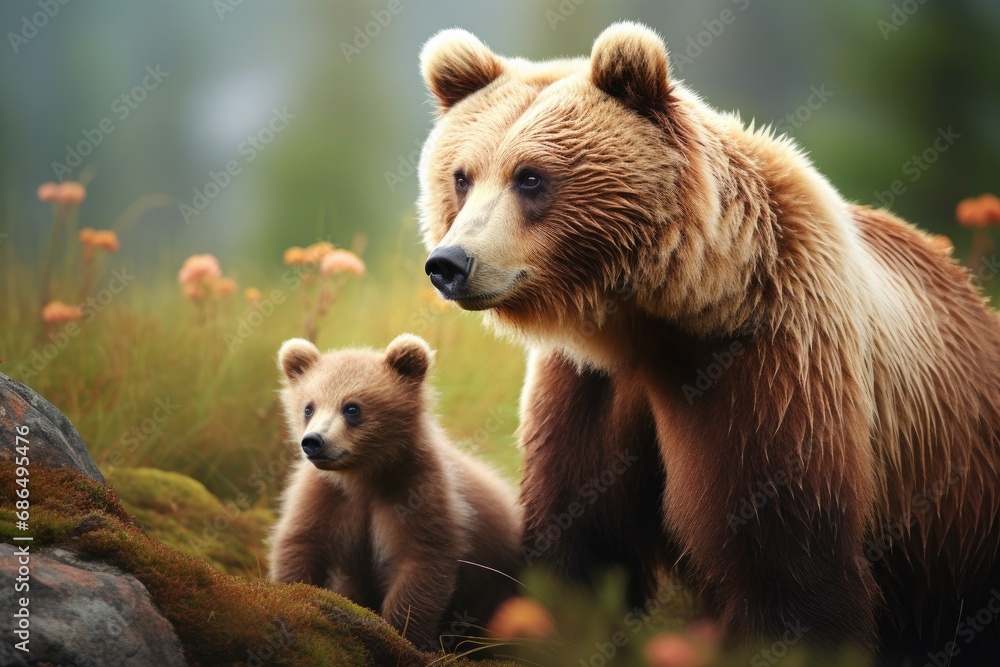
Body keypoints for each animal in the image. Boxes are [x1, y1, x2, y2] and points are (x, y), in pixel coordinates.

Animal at [269, 333, 523, 651]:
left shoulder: (417, 492)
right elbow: (301, 541)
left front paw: (402, 635)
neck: (363, 477)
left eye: (352, 408)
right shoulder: (324, 495)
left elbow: (420, 561)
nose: (313, 442)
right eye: (308, 407)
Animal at [415, 21, 1000, 663]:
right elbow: (581, 536)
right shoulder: (588, 385)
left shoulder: (773, 368)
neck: (662, 316)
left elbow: (784, 561)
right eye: (461, 176)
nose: (449, 263)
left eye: (530, 176)